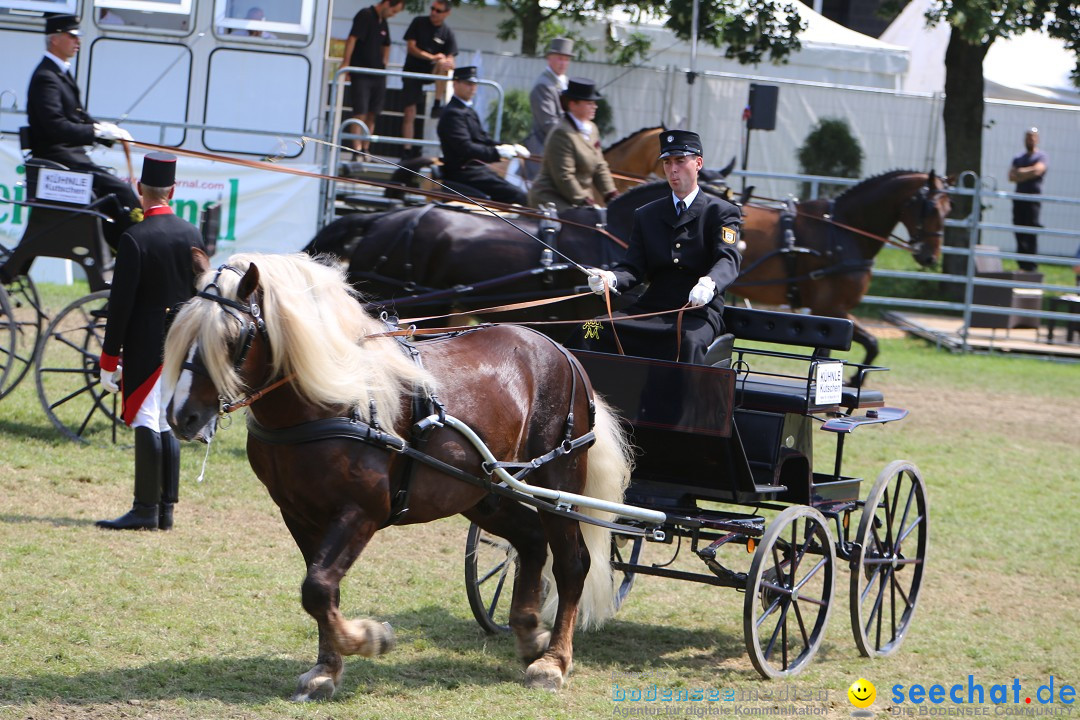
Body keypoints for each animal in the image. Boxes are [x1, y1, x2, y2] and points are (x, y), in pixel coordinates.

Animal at [160, 252, 630, 699]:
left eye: (232, 338)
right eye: (181, 329)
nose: (182, 416)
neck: (330, 400)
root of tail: (564, 353)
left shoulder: (362, 510)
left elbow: (317, 587)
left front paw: (369, 638)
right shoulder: (298, 513)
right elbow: (321, 590)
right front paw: (326, 669)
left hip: (556, 483)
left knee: (572, 564)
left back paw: (553, 662)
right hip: (481, 493)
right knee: (531, 541)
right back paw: (530, 632)